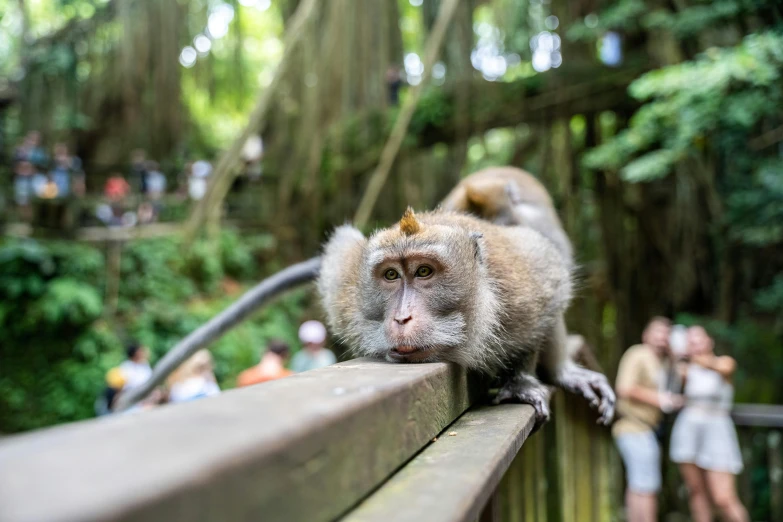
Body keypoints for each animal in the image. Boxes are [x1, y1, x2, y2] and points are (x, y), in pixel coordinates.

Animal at [316, 168, 616, 426]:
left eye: (423, 271)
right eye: (391, 275)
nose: (402, 318)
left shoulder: (524, 284)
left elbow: (548, 293)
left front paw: (520, 380)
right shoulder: (344, 293)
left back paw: (561, 372)